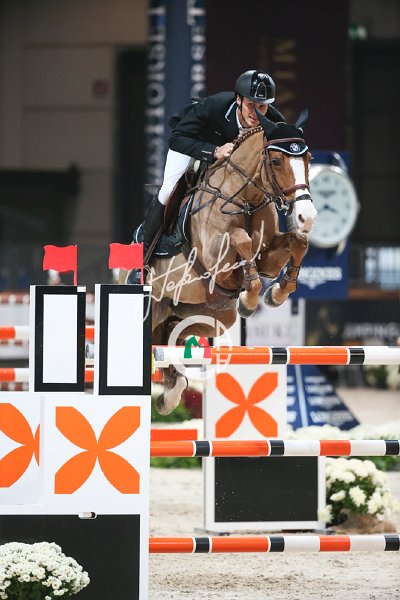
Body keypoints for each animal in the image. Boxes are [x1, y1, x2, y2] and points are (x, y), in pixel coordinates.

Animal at [122, 111, 317, 414]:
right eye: (276, 161)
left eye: (308, 159)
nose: (306, 217)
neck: (246, 198)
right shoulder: (216, 259)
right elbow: (241, 239)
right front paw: (249, 299)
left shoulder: (267, 260)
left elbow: (298, 243)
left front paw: (275, 293)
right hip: (149, 306)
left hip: (209, 316)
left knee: (169, 335)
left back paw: (171, 393)